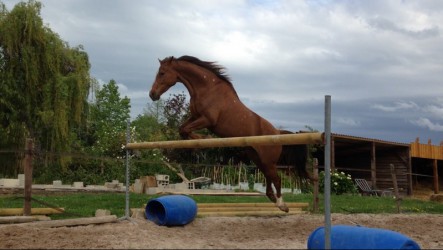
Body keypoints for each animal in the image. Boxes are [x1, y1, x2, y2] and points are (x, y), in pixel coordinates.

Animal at [149, 55, 308, 212]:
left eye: (162, 73)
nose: (152, 95)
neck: (206, 89)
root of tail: (277, 132)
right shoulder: (195, 117)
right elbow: (182, 129)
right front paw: (200, 140)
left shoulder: (208, 120)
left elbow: (185, 130)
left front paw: (204, 138)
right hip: (258, 158)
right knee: (269, 177)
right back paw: (272, 198)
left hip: (268, 160)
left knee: (276, 179)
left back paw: (282, 205)